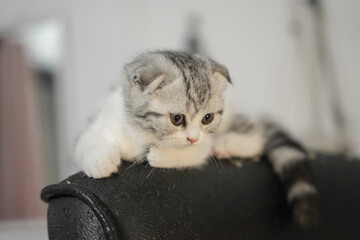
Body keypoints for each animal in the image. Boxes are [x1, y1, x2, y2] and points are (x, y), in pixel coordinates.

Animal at [75, 50, 318, 227]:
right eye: (177, 118)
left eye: (207, 118)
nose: (192, 137)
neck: (144, 132)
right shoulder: (100, 122)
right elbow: (88, 142)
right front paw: (100, 162)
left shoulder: (202, 144)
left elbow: (188, 153)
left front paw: (159, 154)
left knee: (258, 136)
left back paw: (226, 144)